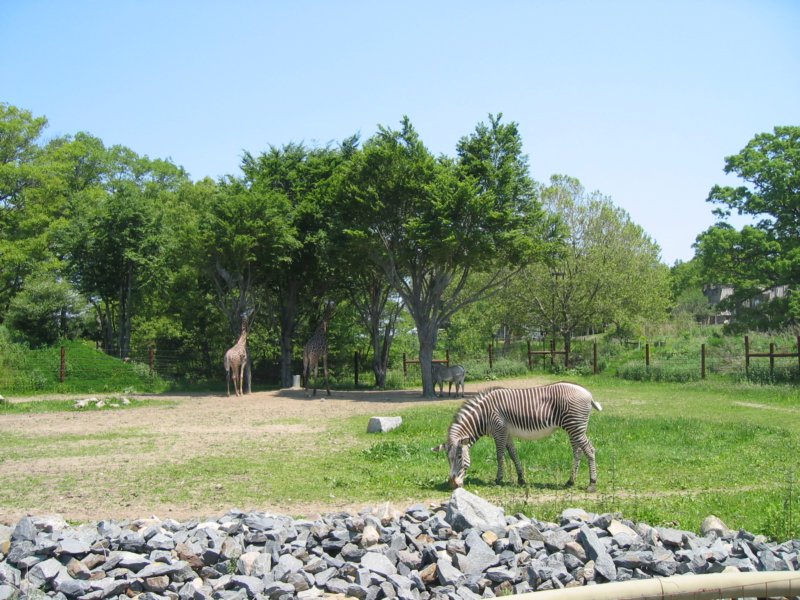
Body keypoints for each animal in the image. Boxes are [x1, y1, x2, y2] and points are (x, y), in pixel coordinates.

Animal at [433, 382, 602, 491]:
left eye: (460, 457)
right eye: (448, 459)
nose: (452, 485)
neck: (483, 416)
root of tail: (588, 394)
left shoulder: (499, 431)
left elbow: (500, 455)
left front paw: (498, 479)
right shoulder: (507, 433)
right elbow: (513, 454)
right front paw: (521, 479)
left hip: (575, 427)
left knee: (590, 450)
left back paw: (592, 483)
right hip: (573, 428)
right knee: (578, 451)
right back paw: (570, 481)